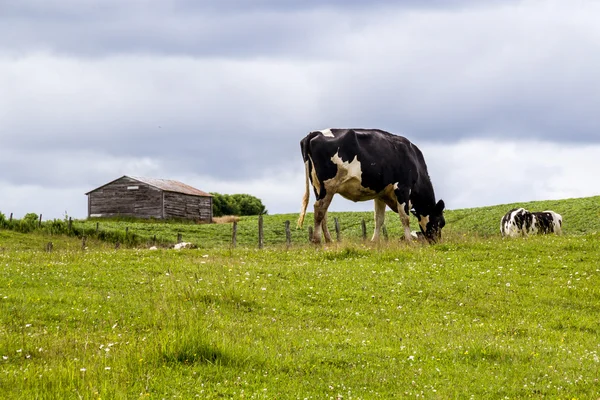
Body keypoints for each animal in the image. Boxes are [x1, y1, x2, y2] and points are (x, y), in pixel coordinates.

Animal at [296, 130, 446, 244]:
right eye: (440, 222)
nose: (436, 242)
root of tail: (315, 133)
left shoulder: (381, 193)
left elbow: (379, 219)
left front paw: (374, 241)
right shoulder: (402, 188)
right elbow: (405, 217)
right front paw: (409, 242)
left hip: (319, 187)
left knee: (323, 213)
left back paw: (329, 241)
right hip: (328, 185)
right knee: (319, 210)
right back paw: (317, 241)